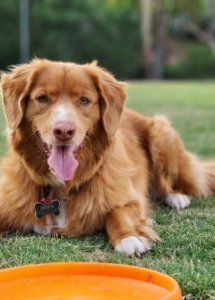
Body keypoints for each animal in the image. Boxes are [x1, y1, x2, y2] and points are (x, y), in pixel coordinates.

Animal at [0, 58, 215, 255]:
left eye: (84, 100)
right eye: (42, 98)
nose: (64, 131)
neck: (62, 186)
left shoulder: (130, 197)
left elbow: (117, 213)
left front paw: (129, 237)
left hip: (160, 130)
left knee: (172, 183)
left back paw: (176, 197)